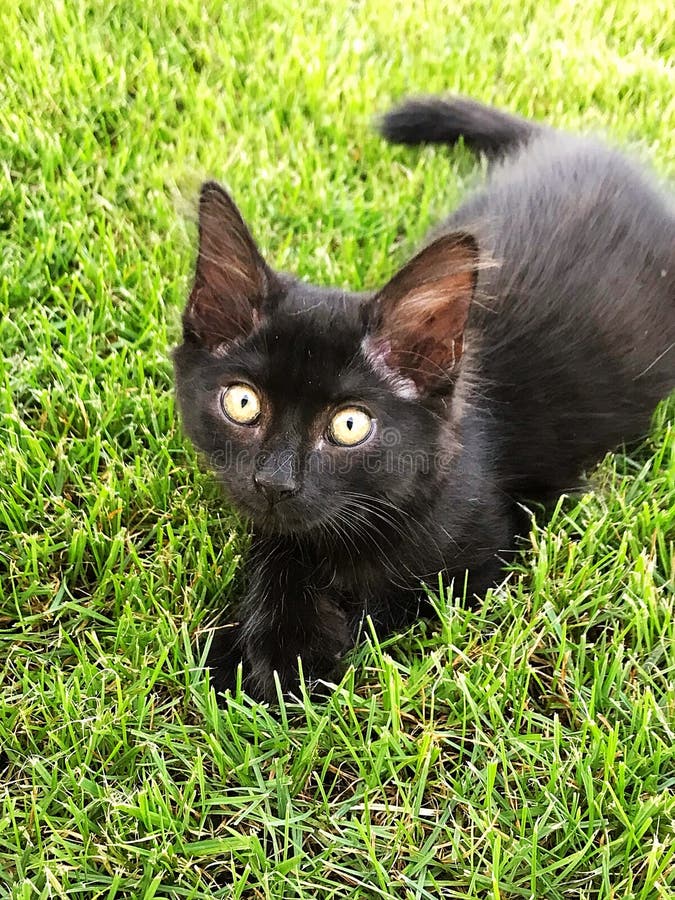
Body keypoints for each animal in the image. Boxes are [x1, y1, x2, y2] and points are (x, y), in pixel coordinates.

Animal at [174, 96, 675, 704]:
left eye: (349, 426)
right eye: (242, 404)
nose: (274, 481)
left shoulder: (484, 556)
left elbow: (381, 604)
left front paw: (280, 658)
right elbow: (278, 549)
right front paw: (240, 641)